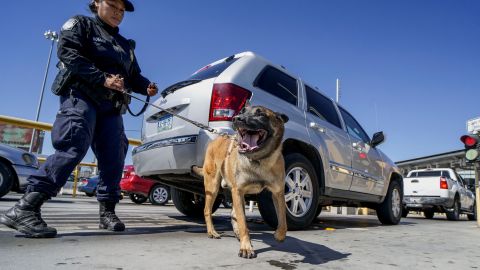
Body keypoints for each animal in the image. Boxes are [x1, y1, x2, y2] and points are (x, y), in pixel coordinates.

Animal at [191, 104, 288, 258]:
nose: (236, 118)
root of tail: (215, 140)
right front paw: (246, 247)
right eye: (242, 111)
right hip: (213, 187)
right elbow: (243, 222)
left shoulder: (278, 193)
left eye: (261, 114)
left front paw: (279, 234)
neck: (259, 160)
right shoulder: (239, 191)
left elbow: (283, 219)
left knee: (233, 213)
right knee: (207, 210)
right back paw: (212, 232)